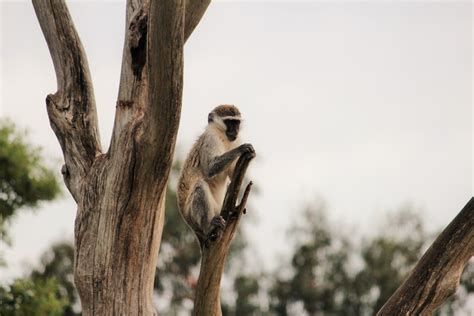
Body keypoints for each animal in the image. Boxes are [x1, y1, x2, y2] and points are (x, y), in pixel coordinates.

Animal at [177, 105, 256, 246]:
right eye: (229, 122)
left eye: (237, 122)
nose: (235, 130)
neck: (222, 136)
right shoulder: (210, 138)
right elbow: (210, 167)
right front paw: (242, 148)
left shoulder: (236, 139)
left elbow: (233, 174)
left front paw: (250, 155)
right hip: (193, 215)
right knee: (200, 187)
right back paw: (209, 226)